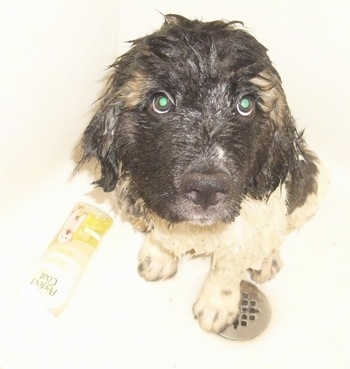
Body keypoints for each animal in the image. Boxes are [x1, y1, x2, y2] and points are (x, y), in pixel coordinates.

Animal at [78, 14, 322, 332]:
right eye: (161, 102)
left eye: (245, 105)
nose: (207, 189)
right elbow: (163, 235)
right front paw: (158, 256)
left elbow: (228, 266)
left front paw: (217, 306)